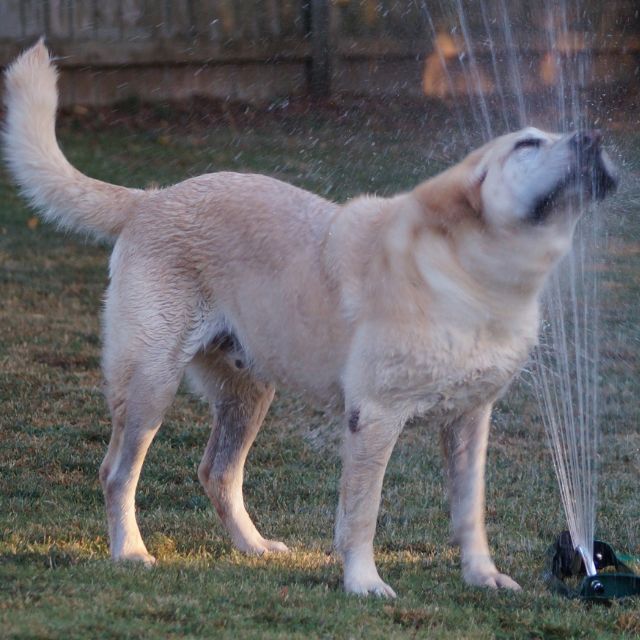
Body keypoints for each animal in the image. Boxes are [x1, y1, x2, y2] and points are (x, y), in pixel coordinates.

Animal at [2, 42, 616, 596]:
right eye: (528, 143)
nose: (594, 137)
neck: (478, 278)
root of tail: (149, 199)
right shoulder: (374, 417)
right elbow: (361, 513)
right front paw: (364, 584)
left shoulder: (470, 420)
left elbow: (470, 512)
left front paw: (483, 577)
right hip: (151, 383)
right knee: (118, 473)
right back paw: (130, 551)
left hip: (248, 392)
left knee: (217, 472)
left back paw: (253, 548)